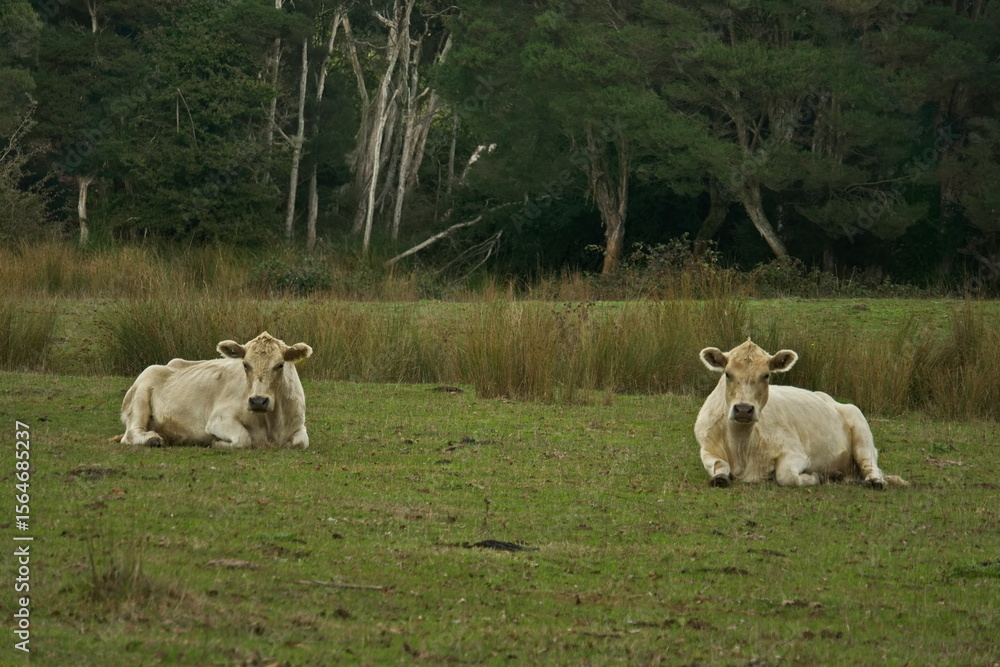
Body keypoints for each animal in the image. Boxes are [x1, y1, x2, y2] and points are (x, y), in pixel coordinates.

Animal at [115, 332, 313, 449]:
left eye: (280, 365)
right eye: (245, 364)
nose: (258, 401)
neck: (271, 425)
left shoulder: (299, 425)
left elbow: (301, 442)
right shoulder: (218, 419)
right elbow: (243, 439)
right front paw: (217, 442)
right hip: (140, 398)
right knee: (131, 433)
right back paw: (153, 439)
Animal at [694, 339, 907, 489]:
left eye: (766, 375)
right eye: (727, 374)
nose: (744, 409)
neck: (741, 446)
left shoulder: (796, 453)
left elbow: (786, 475)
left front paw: (816, 477)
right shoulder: (707, 448)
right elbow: (719, 465)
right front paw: (720, 477)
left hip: (862, 432)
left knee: (870, 465)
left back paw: (873, 481)